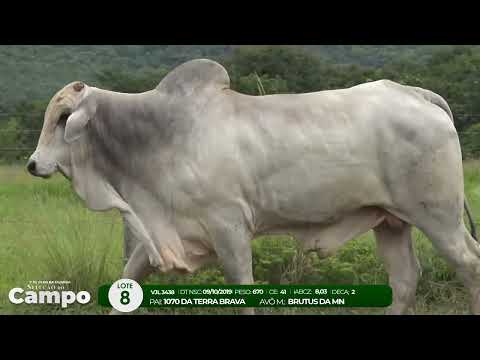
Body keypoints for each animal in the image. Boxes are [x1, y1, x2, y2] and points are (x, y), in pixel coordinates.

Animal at [27, 59, 480, 316]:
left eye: (64, 118)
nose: (33, 164)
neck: (157, 137)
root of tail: (415, 93)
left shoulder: (229, 228)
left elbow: (243, 290)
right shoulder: (166, 233)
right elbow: (129, 279)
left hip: (438, 217)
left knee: (469, 265)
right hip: (390, 221)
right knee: (404, 281)